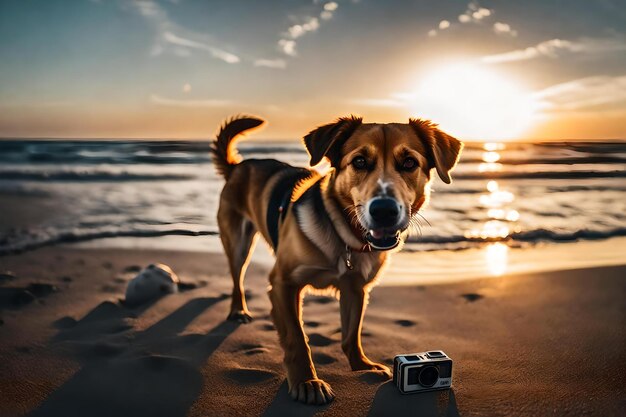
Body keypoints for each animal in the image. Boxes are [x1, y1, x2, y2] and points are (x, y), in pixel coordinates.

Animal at [212, 114, 460, 404]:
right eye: (359, 161)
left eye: (409, 162)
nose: (384, 210)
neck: (344, 238)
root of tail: (238, 167)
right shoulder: (284, 284)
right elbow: (297, 339)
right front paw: (307, 381)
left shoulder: (355, 288)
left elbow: (352, 334)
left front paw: (362, 367)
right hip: (238, 242)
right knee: (237, 277)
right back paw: (238, 309)